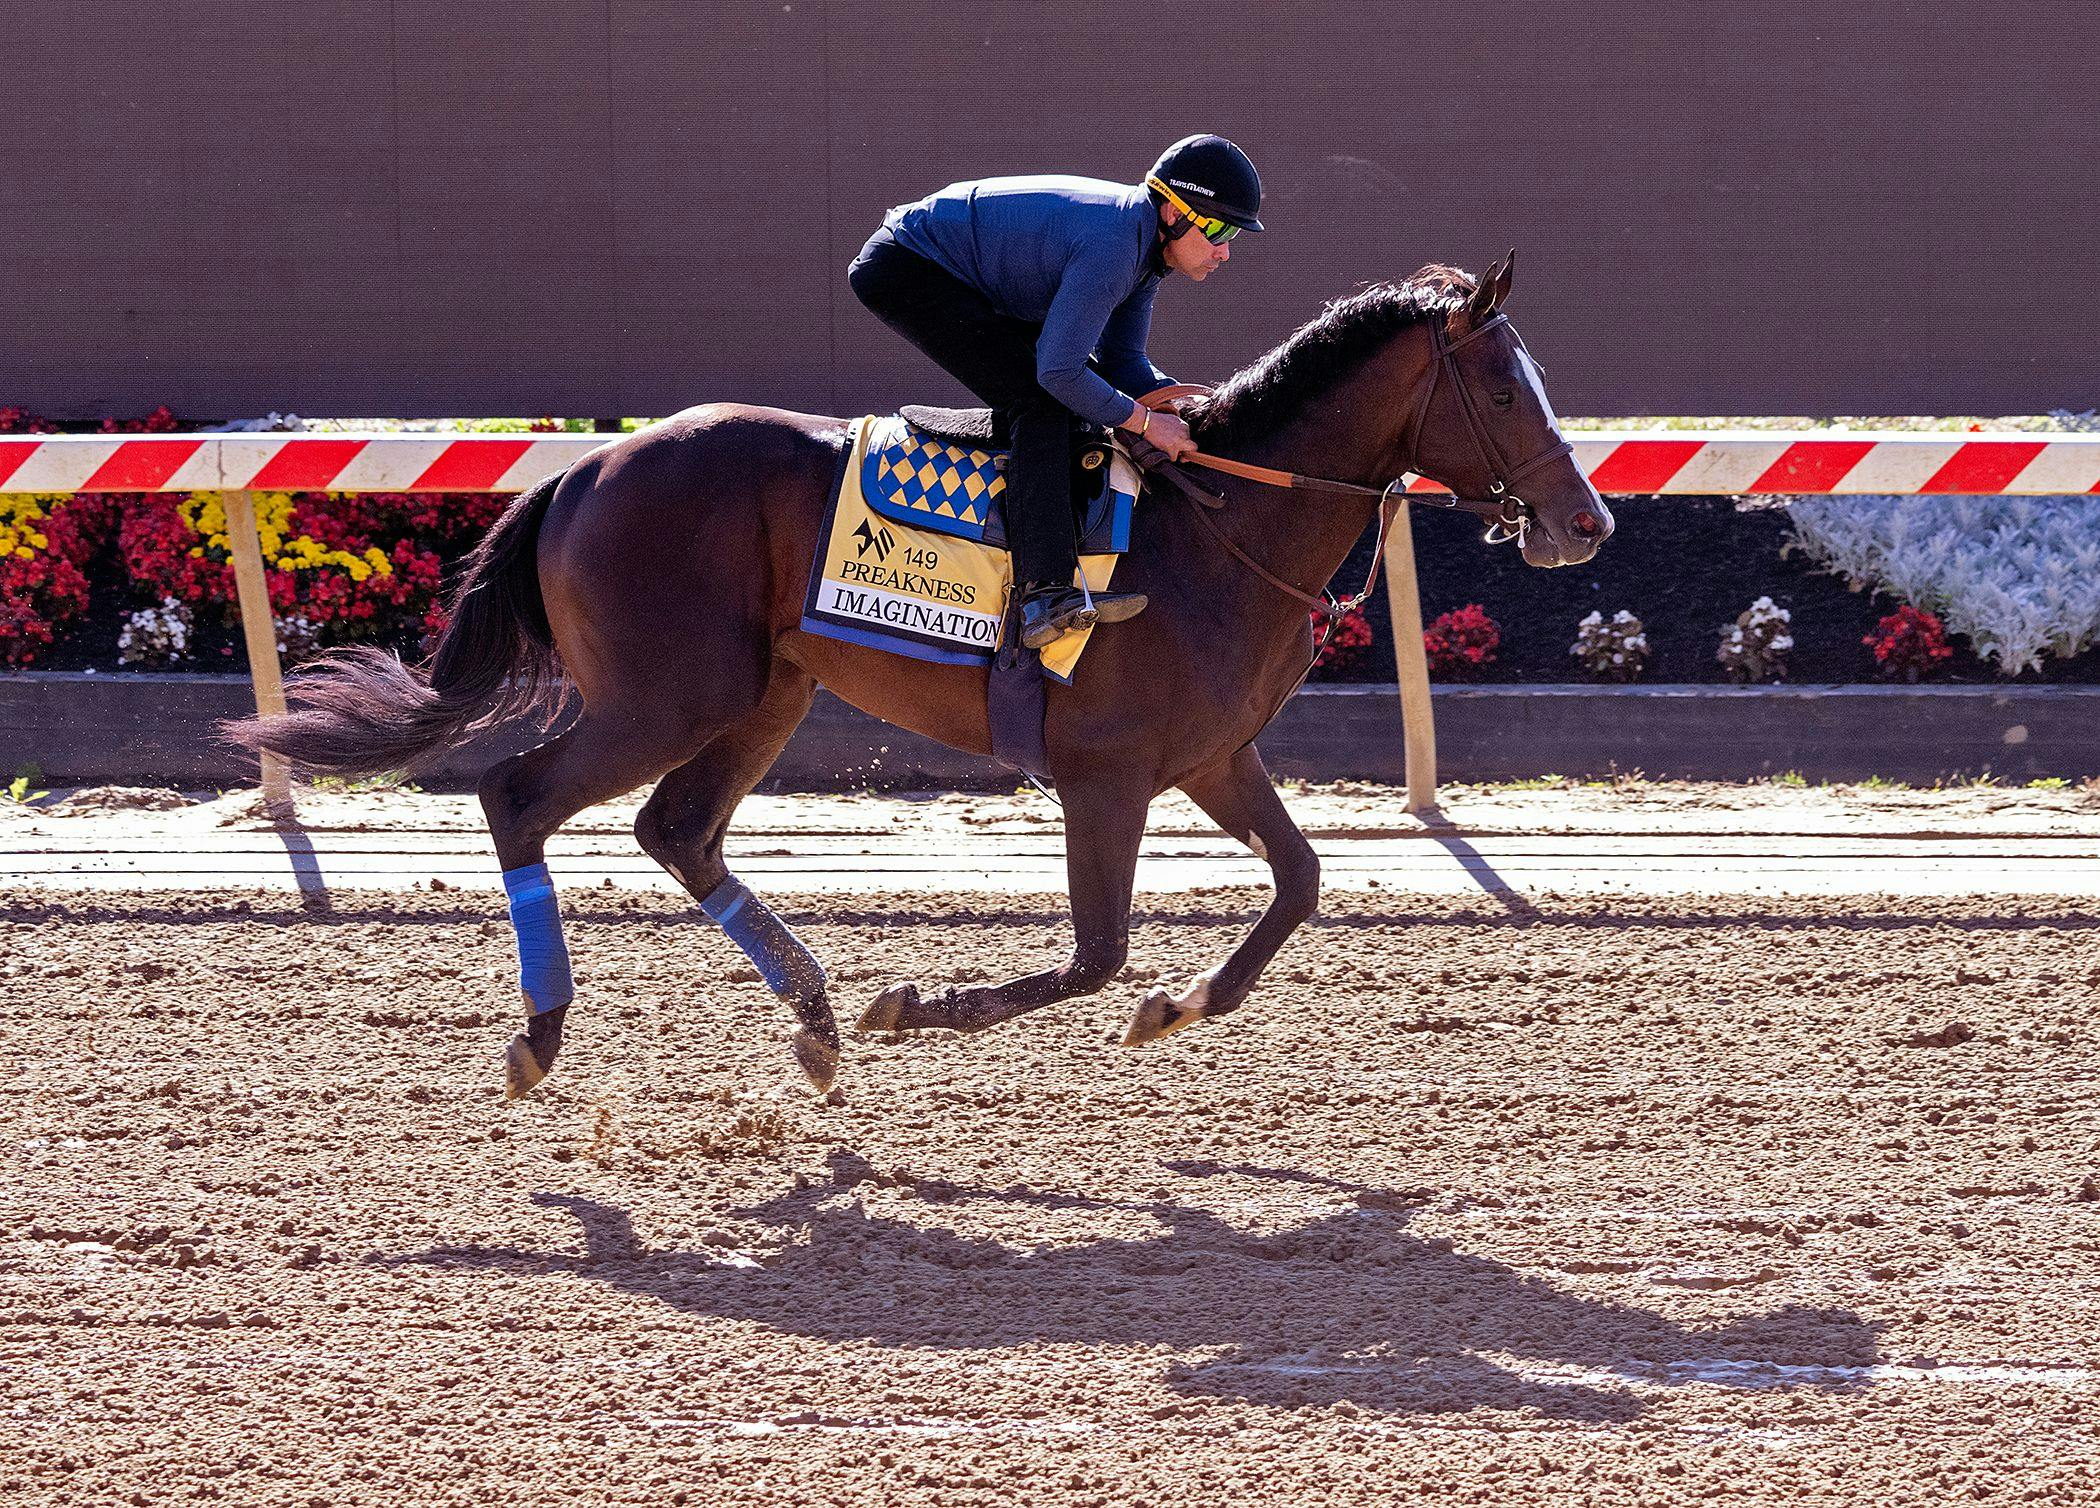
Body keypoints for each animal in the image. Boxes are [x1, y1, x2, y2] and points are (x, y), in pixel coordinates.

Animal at [229, 250, 1604, 1100]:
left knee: (679, 829)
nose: (1584, 523)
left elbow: (1300, 884)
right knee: (519, 796)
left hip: (767, 690)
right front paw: (917, 1003)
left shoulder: (1213, 755)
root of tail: (581, 470)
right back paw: (545, 1032)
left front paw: (1177, 1005)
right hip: (661, 697)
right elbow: (1095, 952)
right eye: (1501, 385)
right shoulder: (1105, 776)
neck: (1222, 524)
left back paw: (814, 1022)